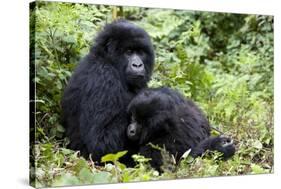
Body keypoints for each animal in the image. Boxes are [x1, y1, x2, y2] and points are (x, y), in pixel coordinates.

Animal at [61, 19, 154, 163]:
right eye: (129, 52)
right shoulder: (103, 78)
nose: (138, 65)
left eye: (140, 52)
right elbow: (102, 143)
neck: (108, 60)